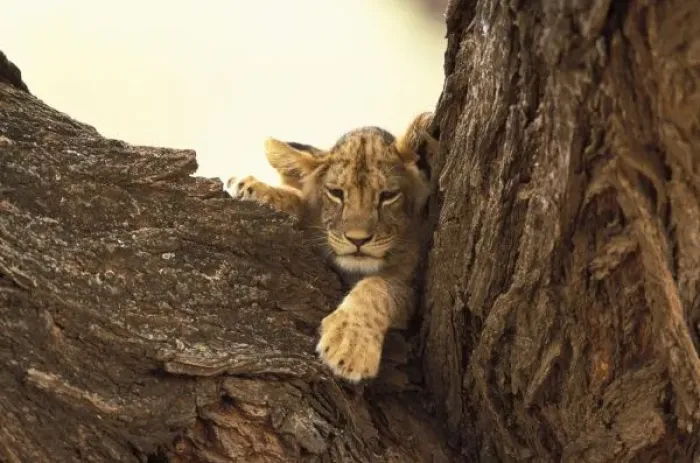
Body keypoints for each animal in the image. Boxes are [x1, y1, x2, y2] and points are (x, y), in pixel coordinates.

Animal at [228, 112, 436, 382]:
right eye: (336, 193)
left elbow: (377, 286)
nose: (358, 240)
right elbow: (300, 202)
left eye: (388, 195)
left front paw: (350, 344)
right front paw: (253, 188)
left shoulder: (413, 288)